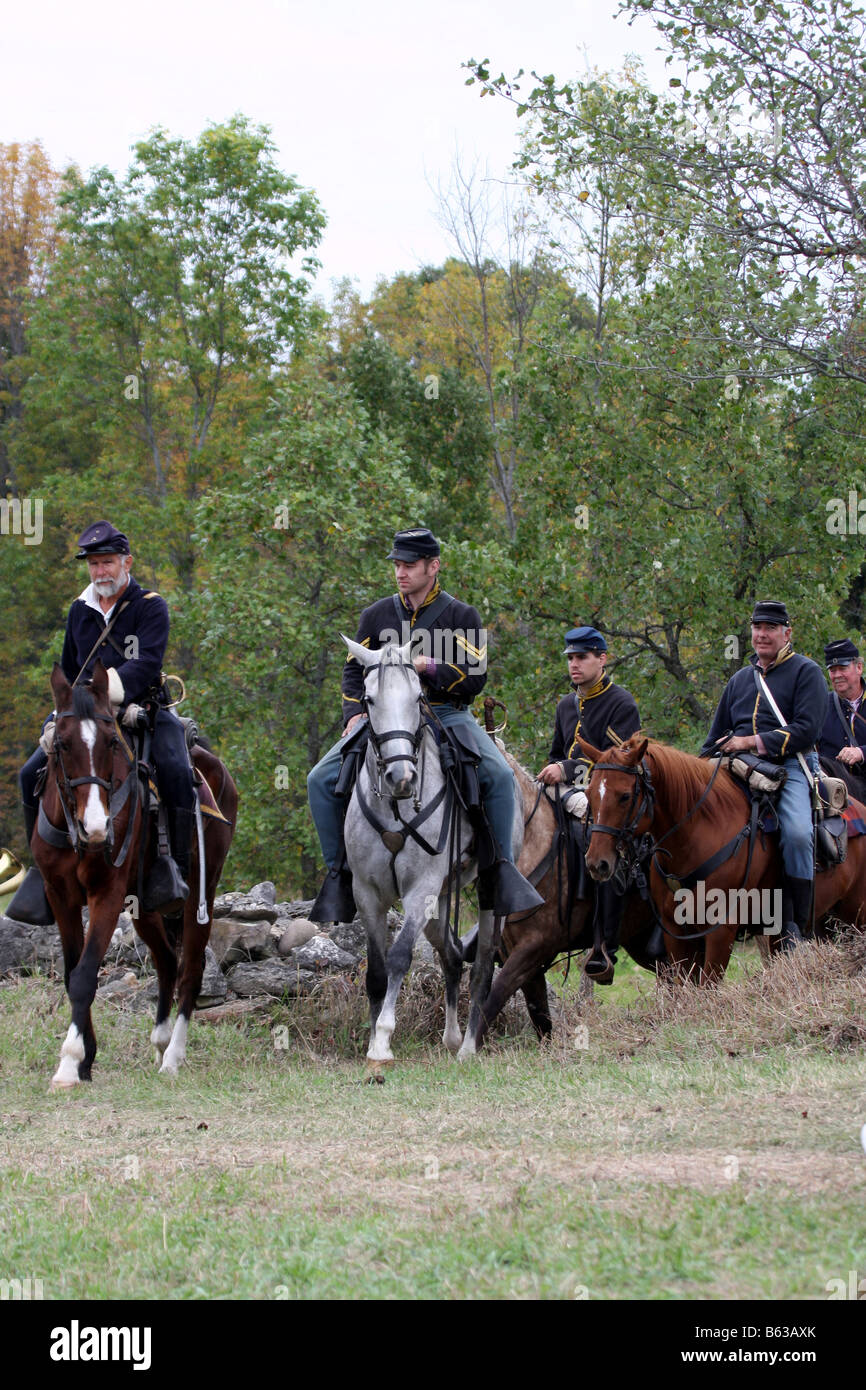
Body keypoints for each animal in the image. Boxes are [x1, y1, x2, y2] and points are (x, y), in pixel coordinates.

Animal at [37, 658, 237, 1084]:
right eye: (61, 744)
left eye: (111, 743)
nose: (96, 828)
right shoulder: (60, 895)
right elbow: (73, 972)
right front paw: (86, 1059)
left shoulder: (107, 894)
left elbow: (84, 975)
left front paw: (69, 1062)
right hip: (143, 905)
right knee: (166, 960)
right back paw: (160, 1039)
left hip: (202, 892)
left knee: (190, 969)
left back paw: (173, 1056)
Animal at [343, 636, 522, 1078]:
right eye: (368, 699)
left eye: (418, 697)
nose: (401, 778)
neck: (396, 806)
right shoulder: (367, 893)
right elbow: (376, 970)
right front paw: (372, 1040)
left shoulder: (419, 889)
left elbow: (398, 958)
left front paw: (383, 1041)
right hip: (440, 900)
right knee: (452, 955)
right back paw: (452, 1037)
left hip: (486, 893)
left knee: (482, 966)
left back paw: (469, 1047)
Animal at [583, 733, 866, 984]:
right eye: (589, 794)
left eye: (624, 796)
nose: (597, 863)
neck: (696, 836)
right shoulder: (676, 932)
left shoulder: (720, 931)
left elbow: (709, 986)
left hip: (855, 914)